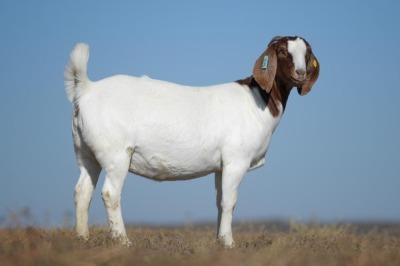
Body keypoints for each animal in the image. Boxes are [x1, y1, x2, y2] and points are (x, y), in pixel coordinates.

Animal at [65, 35, 322, 247]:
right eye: (282, 51)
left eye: (307, 53)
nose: (300, 73)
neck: (258, 100)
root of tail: (87, 89)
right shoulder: (236, 161)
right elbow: (230, 201)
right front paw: (229, 243)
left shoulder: (221, 167)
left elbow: (219, 201)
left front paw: (219, 242)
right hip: (116, 153)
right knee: (110, 193)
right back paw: (123, 241)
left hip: (85, 152)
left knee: (82, 191)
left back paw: (82, 238)